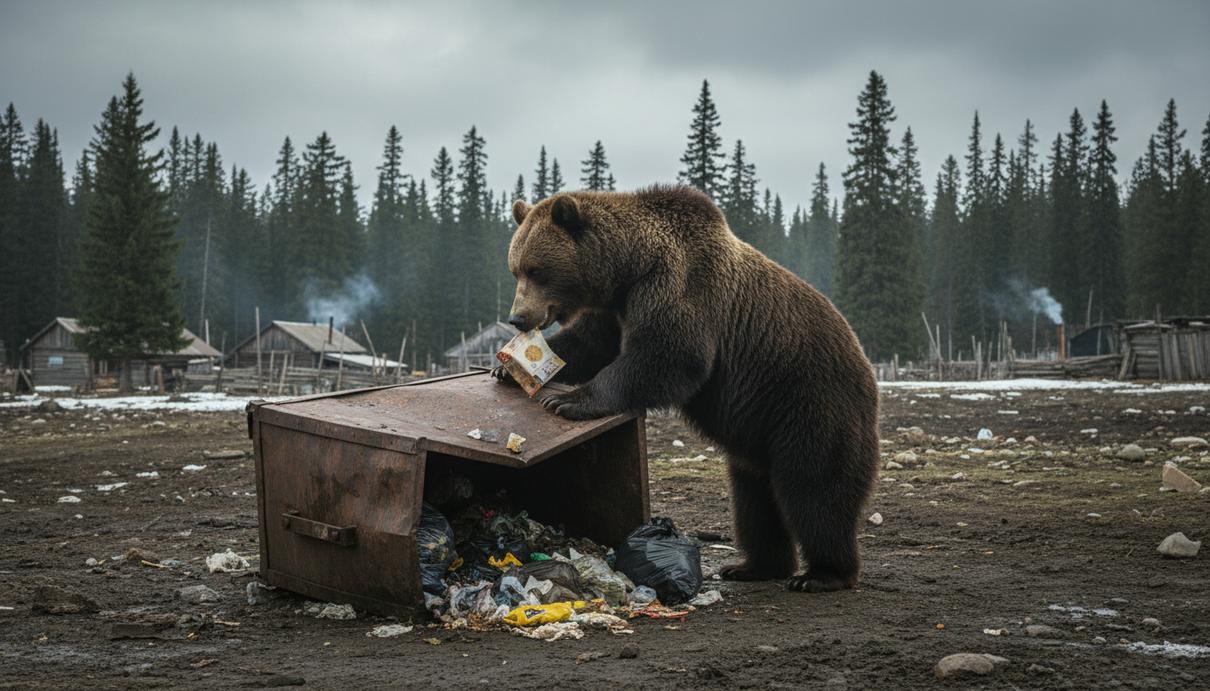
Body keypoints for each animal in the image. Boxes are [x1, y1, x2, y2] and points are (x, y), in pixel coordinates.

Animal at [499, 185, 880, 592]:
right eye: (516, 269)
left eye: (537, 270)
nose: (518, 317)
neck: (629, 270)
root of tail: (865, 366)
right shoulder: (615, 309)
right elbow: (590, 344)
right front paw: (508, 369)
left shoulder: (678, 286)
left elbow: (670, 355)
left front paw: (566, 399)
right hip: (760, 432)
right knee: (753, 500)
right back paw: (752, 566)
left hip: (810, 403)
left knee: (812, 490)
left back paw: (823, 574)